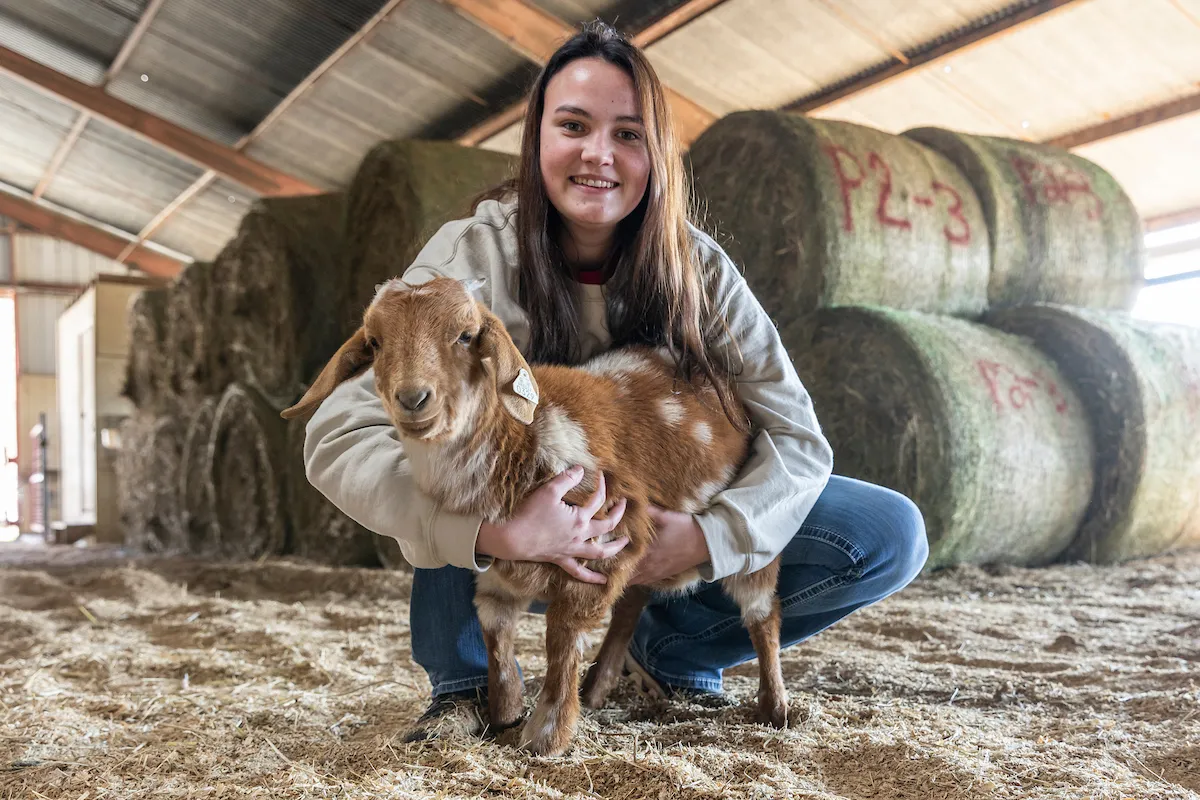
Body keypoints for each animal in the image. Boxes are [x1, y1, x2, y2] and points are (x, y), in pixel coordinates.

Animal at [283, 276, 787, 756]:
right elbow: (495, 636)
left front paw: (547, 735)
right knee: (633, 601)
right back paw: (598, 687)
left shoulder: (609, 535)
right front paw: (506, 713)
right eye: (375, 342)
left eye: (465, 335)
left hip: (747, 544)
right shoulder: (500, 573)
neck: (519, 441)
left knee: (762, 612)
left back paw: (775, 708)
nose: (413, 398)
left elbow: (561, 638)